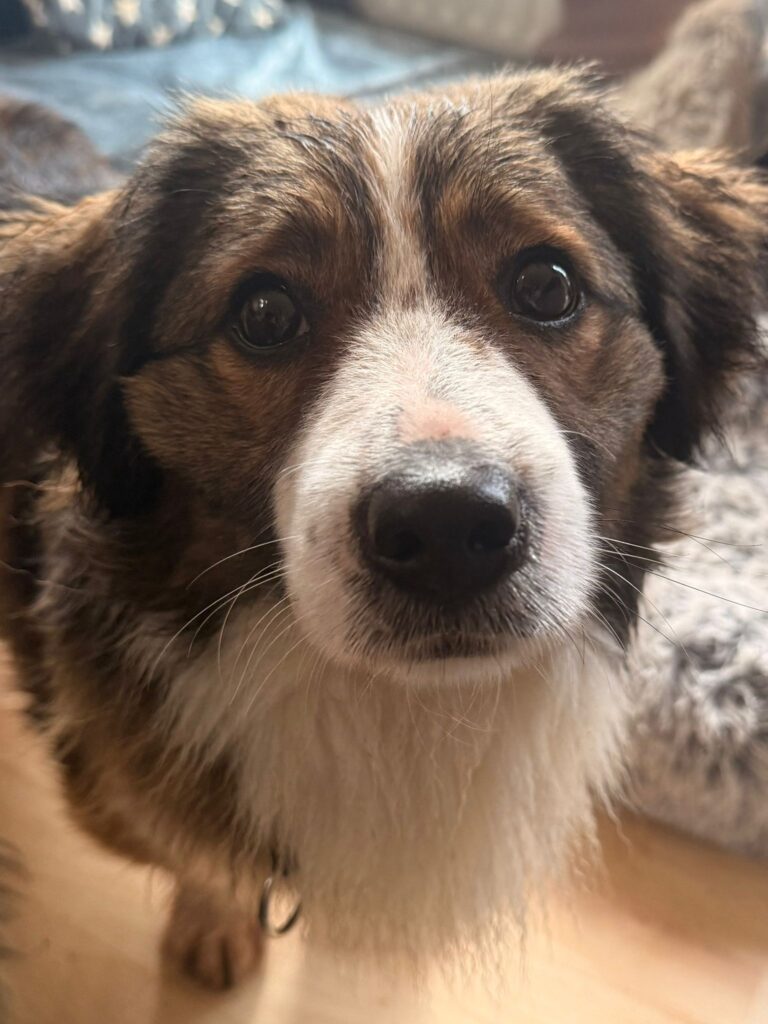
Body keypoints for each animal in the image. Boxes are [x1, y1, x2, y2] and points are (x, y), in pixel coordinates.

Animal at [0, 70, 766, 988]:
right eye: (264, 312)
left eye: (547, 286)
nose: (447, 527)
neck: (398, 706)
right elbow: (202, 858)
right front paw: (214, 921)